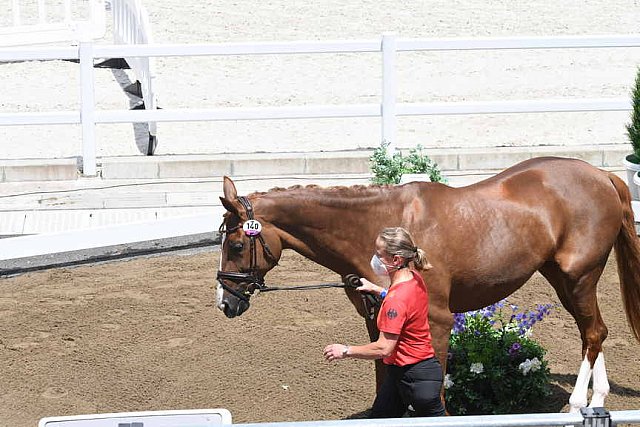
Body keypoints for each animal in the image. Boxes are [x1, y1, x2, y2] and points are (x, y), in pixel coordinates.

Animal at [215, 156, 640, 412]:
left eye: (235, 245)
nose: (225, 302)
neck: (377, 225)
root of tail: (602, 175)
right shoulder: (376, 320)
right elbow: (384, 379)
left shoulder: (436, 320)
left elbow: (432, 388)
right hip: (561, 277)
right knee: (593, 332)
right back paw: (596, 400)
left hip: (577, 276)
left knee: (593, 332)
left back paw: (577, 404)